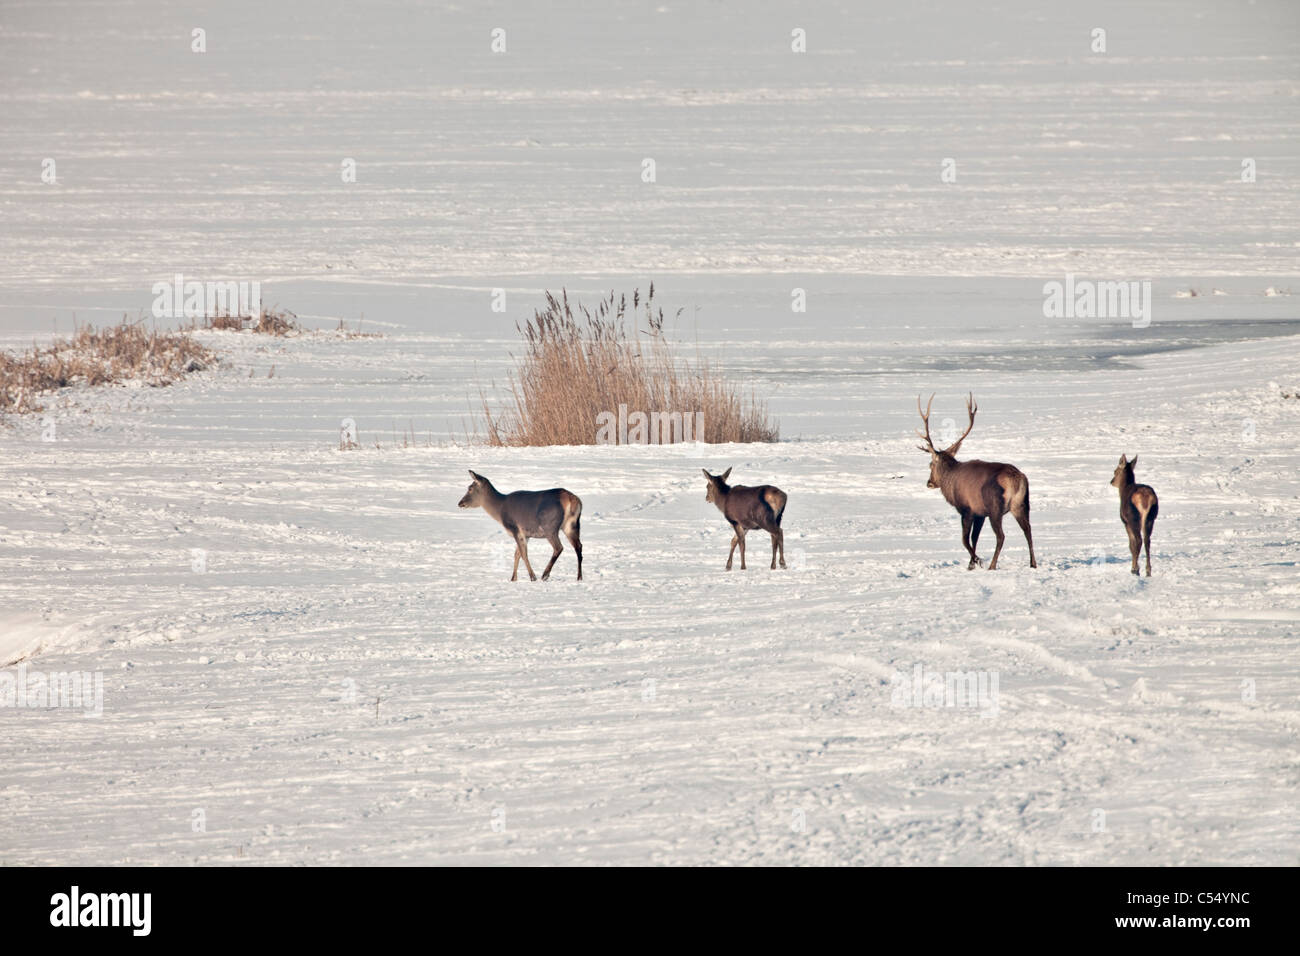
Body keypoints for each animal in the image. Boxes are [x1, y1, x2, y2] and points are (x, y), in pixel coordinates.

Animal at [454, 473, 582, 582]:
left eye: (470, 488)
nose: (460, 503)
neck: (500, 509)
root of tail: (573, 500)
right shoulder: (526, 534)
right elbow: (517, 554)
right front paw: (513, 578)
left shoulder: (515, 528)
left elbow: (523, 554)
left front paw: (532, 577)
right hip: (571, 525)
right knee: (579, 546)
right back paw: (579, 577)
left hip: (550, 527)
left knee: (559, 547)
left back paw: (545, 575)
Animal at [920, 392, 1040, 572]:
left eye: (930, 464)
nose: (929, 482)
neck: (950, 481)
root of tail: (1017, 479)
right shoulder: (980, 513)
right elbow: (974, 538)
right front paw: (971, 564)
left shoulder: (967, 509)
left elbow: (965, 539)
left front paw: (977, 560)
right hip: (1022, 505)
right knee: (1028, 530)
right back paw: (1033, 564)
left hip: (995, 508)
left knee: (1001, 535)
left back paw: (992, 565)